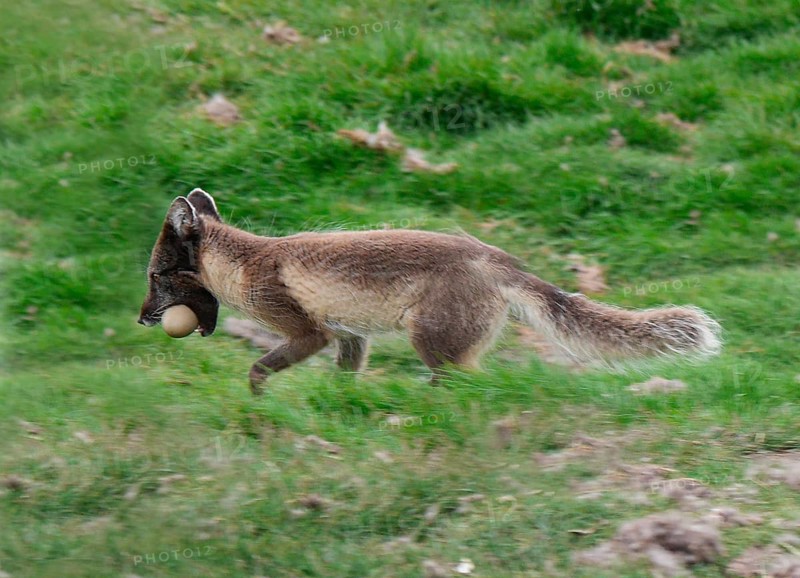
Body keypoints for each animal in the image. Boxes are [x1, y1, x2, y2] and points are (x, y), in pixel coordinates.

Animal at [138, 188, 722, 395]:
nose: (142, 319)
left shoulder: (309, 333)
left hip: (433, 345)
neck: (247, 263)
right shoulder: (349, 339)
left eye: (154, 278)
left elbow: (258, 369)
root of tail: (499, 259)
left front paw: (258, 405)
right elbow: (344, 382)